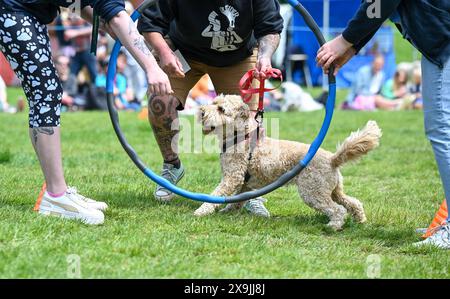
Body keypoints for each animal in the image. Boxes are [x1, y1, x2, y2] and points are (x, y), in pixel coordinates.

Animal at [195, 95, 382, 231]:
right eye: (214, 102)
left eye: (221, 109)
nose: (201, 111)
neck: (239, 136)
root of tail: (332, 159)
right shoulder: (245, 183)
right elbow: (237, 200)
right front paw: (228, 210)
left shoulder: (232, 178)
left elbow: (216, 195)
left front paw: (201, 211)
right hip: (333, 190)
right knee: (352, 202)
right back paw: (361, 220)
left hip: (313, 192)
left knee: (337, 209)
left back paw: (333, 226)